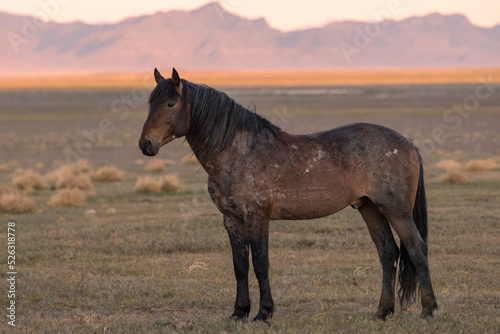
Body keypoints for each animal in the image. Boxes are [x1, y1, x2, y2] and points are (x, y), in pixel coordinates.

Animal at [138, 68, 438, 320]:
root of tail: (408, 143)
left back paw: (428, 310)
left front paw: (264, 313)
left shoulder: (256, 217)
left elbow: (260, 264)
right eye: (151, 104)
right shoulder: (232, 220)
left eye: (170, 104)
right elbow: (239, 266)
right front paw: (239, 312)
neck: (238, 151)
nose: (145, 144)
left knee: (416, 249)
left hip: (396, 211)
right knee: (388, 253)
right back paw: (382, 312)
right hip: (370, 208)